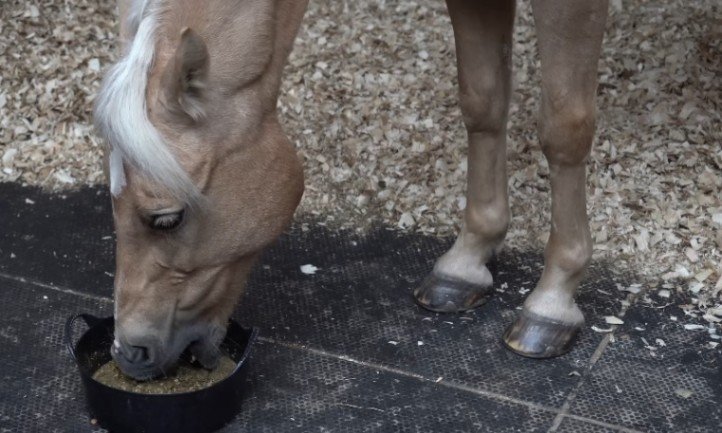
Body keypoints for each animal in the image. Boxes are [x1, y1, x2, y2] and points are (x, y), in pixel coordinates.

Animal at [95, 0, 608, 379]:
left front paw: (554, 298)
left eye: (166, 218)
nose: (128, 354)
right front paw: (468, 260)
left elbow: (564, 130)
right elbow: (483, 101)